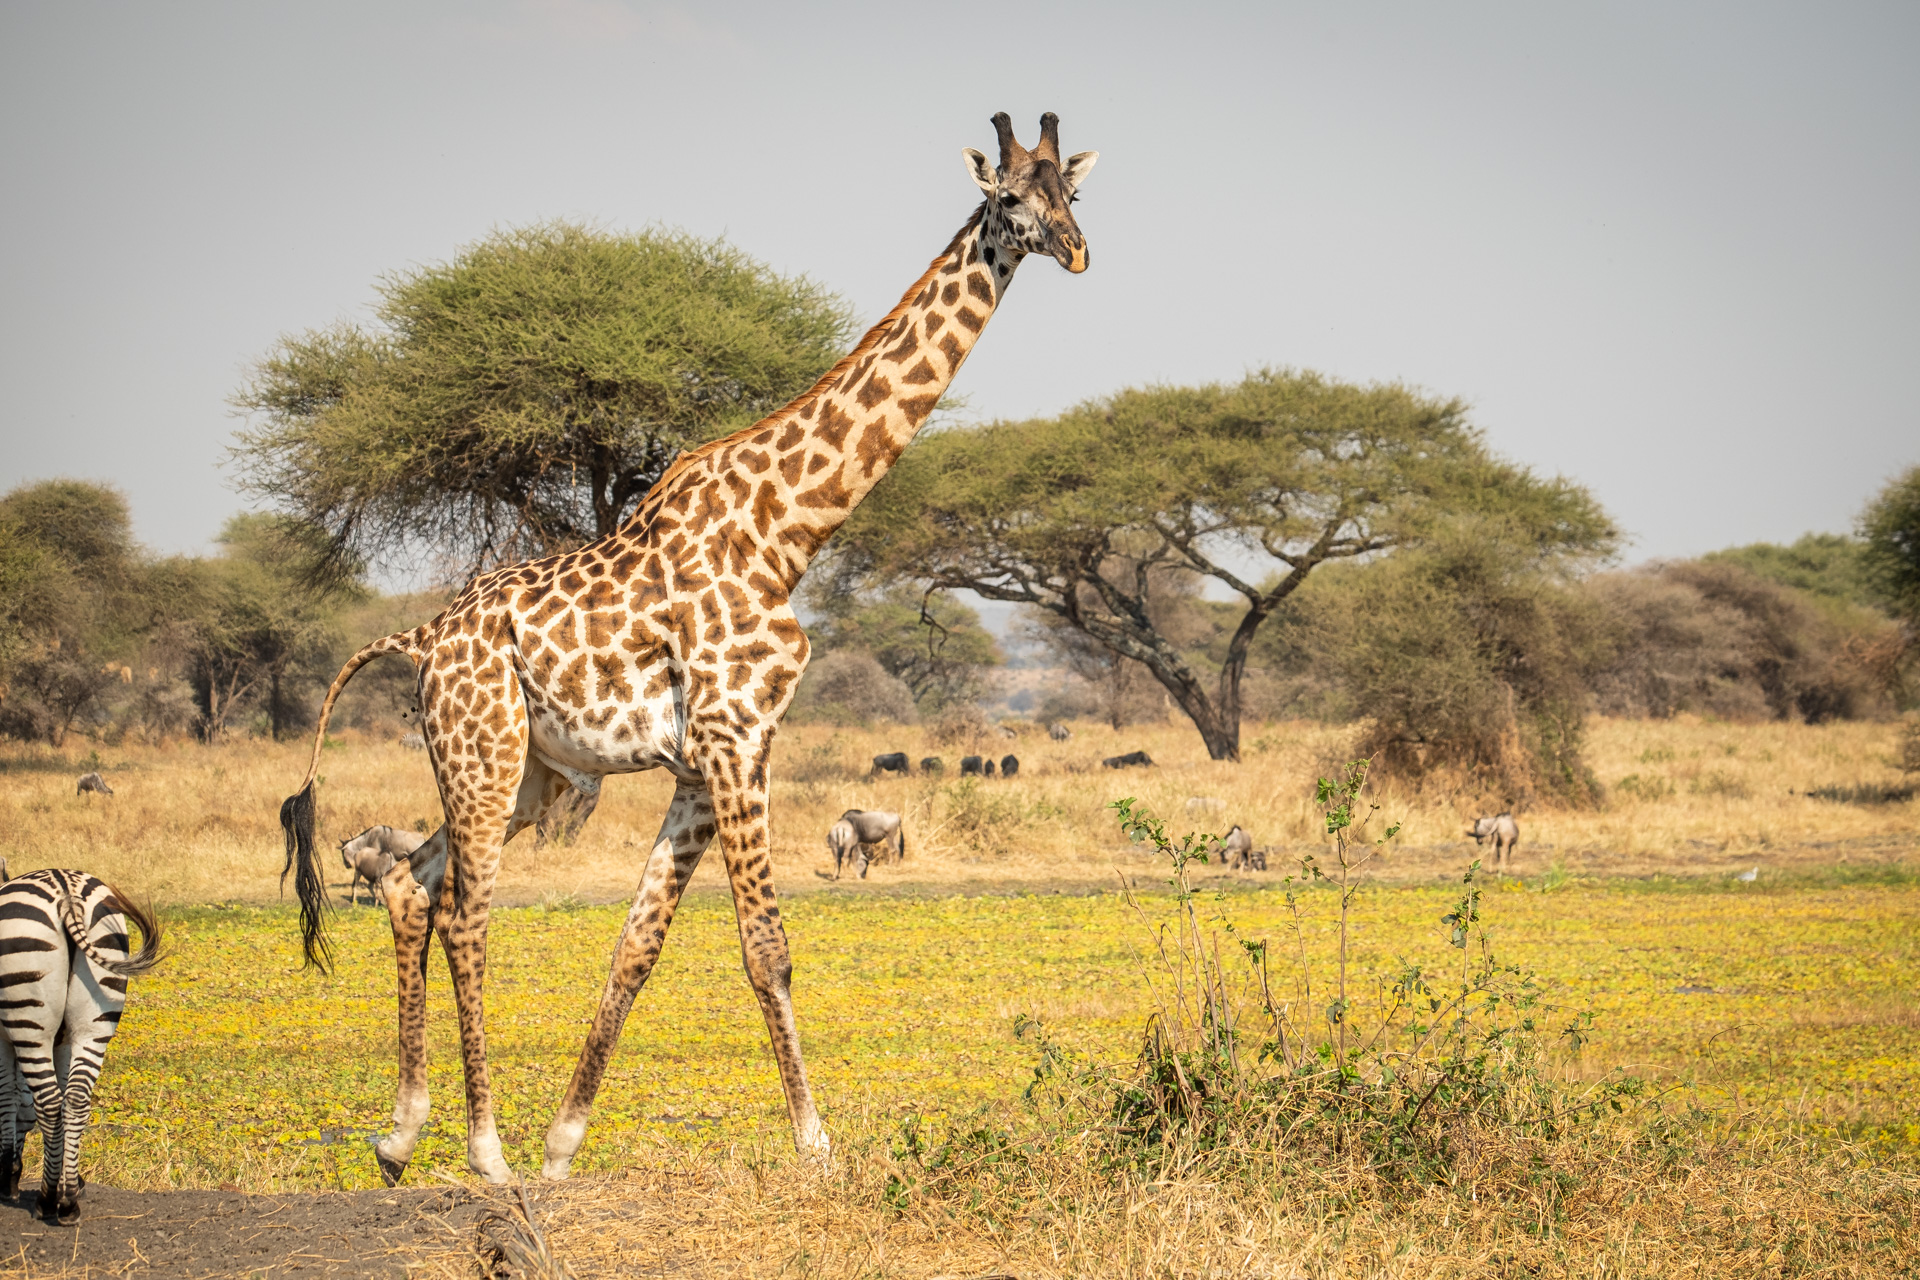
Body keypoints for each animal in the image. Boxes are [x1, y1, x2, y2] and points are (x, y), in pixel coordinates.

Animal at [0, 871, 161, 1220]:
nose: (13, 1181)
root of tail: (67, 892)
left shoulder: (1, 1038)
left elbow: (7, 1097)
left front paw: (6, 1176)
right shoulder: (63, 1042)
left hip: (29, 1019)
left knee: (49, 1103)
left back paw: (47, 1200)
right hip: (95, 1020)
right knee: (74, 1100)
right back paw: (69, 1199)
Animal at [278, 115, 1105, 1189]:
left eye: (1072, 195)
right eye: (1007, 199)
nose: (1076, 251)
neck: (789, 531)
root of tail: (421, 638)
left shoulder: (700, 764)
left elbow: (638, 946)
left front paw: (564, 1144)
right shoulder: (736, 739)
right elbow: (766, 947)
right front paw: (815, 1147)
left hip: (534, 774)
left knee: (408, 885)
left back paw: (400, 1136)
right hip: (482, 757)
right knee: (463, 915)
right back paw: (483, 1151)